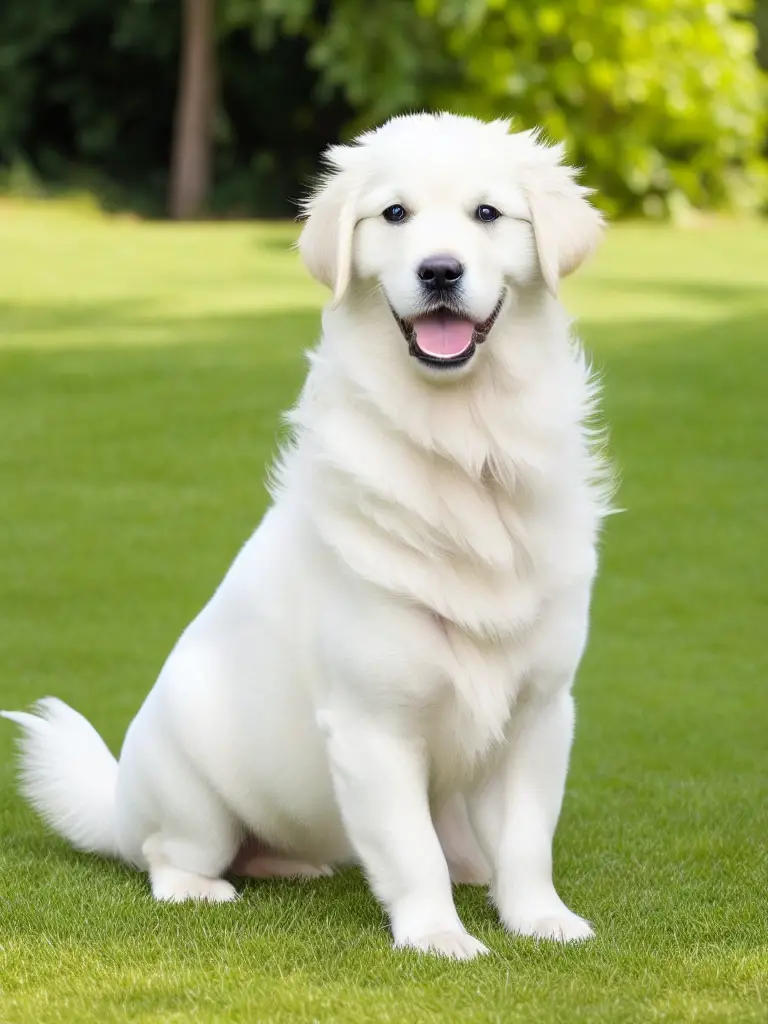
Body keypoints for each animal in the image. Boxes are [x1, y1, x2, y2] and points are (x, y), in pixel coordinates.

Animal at [1, 114, 614, 958]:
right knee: (167, 855)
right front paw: (438, 937)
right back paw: (204, 887)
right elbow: (410, 849)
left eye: (487, 214)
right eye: (395, 214)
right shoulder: (372, 726)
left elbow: (526, 840)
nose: (440, 270)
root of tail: (119, 799)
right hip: (193, 803)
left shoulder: (541, 711)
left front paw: (542, 919)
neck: (462, 445)